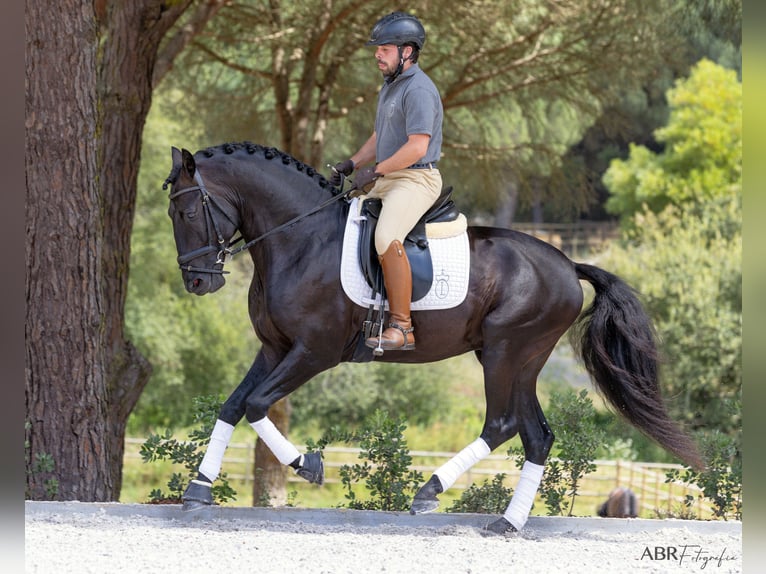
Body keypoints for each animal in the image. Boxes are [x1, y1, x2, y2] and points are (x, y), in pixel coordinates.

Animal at [165, 143, 704, 536]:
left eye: (188, 213)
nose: (197, 282)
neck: (301, 240)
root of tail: (568, 265)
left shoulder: (314, 352)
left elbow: (257, 404)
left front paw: (310, 465)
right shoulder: (275, 348)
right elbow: (232, 406)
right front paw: (198, 488)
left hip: (505, 352)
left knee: (501, 423)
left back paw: (429, 491)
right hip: (520, 359)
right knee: (536, 435)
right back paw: (507, 522)